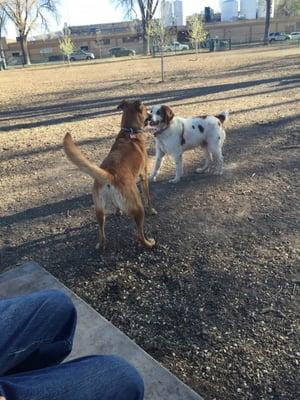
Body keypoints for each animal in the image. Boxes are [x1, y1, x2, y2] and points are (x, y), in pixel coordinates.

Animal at [63, 99, 157, 250]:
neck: (129, 132)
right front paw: (152, 210)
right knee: (139, 235)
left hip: (99, 212)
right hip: (138, 207)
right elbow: (148, 196)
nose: (151, 114)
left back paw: (101, 246)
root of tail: (110, 175)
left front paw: (118, 211)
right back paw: (149, 243)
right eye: (146, 109)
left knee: (101, 234)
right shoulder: (144, 176)